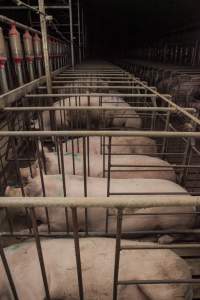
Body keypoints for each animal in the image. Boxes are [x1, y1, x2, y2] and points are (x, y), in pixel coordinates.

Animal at [4, 177, 195, 243]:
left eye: (27, 191)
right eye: (25, 185)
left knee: (183, 234)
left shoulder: (62, 224)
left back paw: (161, 239)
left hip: (176, 222)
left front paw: (20, 233)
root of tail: (191, 201)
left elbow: (42, 228)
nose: (6, 189)